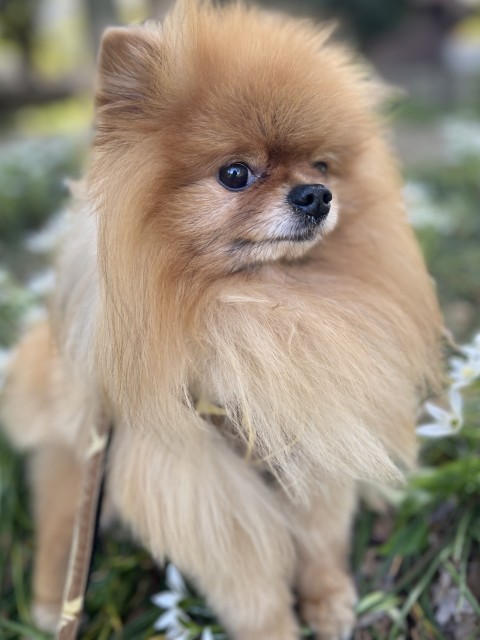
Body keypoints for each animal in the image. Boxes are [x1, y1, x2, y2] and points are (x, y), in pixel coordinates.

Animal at [1, 1, 444, 638]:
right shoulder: (193, 473)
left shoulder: (311, 417)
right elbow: (248, 579)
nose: (317, 195)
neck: (254, 306)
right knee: (60, 500)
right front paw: (277, 629)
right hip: (81, 443)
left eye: (323, 165)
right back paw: (48, 592)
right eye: (235, 174)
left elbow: (320, 535)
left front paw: (330, 600)